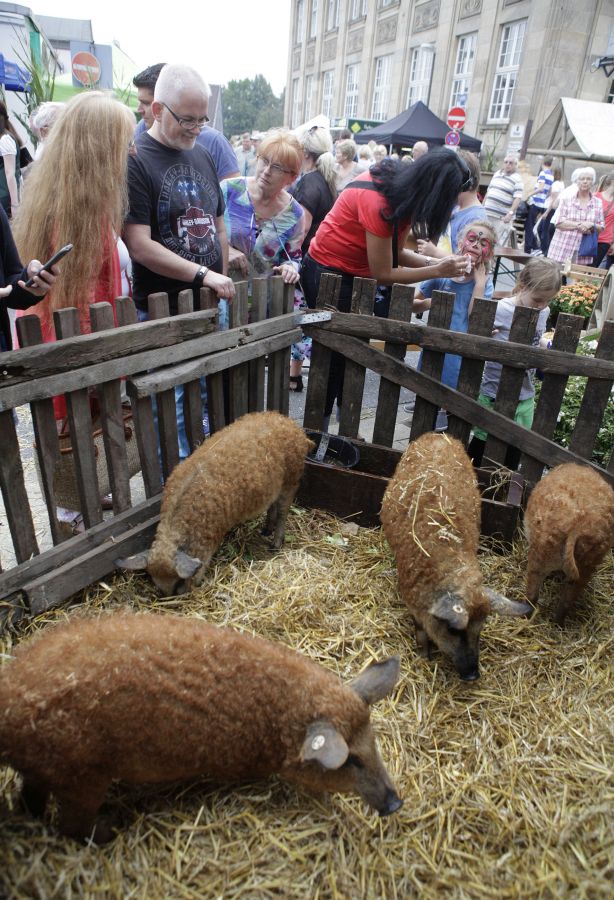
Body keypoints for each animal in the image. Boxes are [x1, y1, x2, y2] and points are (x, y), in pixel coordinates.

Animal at [0, 613, 402, 843]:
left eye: (373, 742)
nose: (396, 803)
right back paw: (111, 827)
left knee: (29, 798)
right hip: (82, 775)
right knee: (70, 828)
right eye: (350, 761)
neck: (275, 718)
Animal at [117, 411, 314, 594]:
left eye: (178, 581)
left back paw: (274, 546)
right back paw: (265, 531)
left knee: (283, 511)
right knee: (273, 506)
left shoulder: (212, 535)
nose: (173, 597)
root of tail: (294, 427)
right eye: (157, 583)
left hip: (292, 479)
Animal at [380, 433, 531, 680]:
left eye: (482, 627)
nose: (472, 675)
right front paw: (424, 657)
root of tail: (440, 435)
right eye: (453, 629)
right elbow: (420, 631)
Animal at [524, 463, 614, 624]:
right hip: (589, 563)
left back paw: (526, 617)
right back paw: (558, 624)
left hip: (541, 554)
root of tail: (580, 524)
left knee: (532, 592)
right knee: (568, 598)